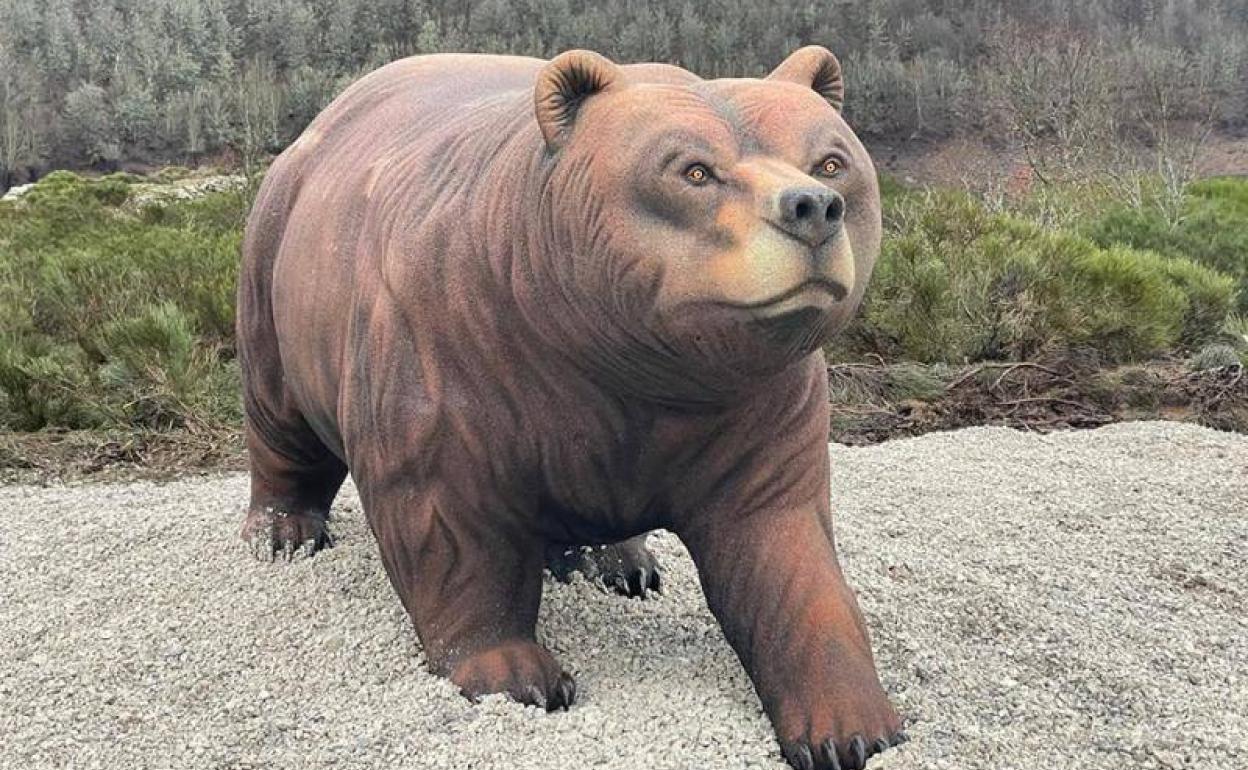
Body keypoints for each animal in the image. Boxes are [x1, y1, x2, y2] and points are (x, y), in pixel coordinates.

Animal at [236, 46, 903, 770]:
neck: (624, 361)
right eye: (693, 169)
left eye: (831, 160)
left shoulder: (758, 404)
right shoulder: (449, 359)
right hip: (276, 277)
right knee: (281, 416)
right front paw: (512, 671)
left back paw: (617, 563)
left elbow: (784, 549)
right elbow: (447, 525)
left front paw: (853, 726)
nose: (812, 207)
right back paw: (283, 531)